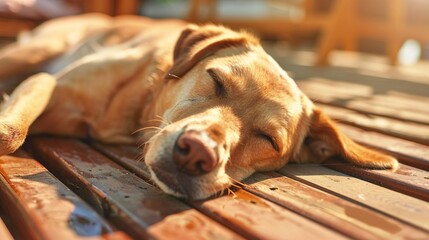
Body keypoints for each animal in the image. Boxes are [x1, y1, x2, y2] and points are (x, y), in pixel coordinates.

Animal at [0, 14, 398, 200]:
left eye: (269, 140)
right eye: (217, 80)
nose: (196, 153)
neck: (136, 109)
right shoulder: (47, 81)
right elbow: (13, 132)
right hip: (33, 52)